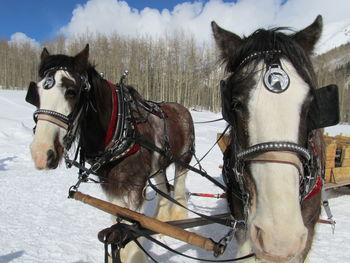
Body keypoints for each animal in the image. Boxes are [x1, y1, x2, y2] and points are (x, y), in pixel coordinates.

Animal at [26, 44, 196, 262]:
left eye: (72, 91)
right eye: (37, 92)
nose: (40, 152)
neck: (122, 128)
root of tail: (182, 108)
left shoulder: (135, 188)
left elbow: (131, 237)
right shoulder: (111, 186)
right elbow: (119, 224)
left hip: (184, 159)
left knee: (180, 188)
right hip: (158, 166)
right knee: (164, 189)